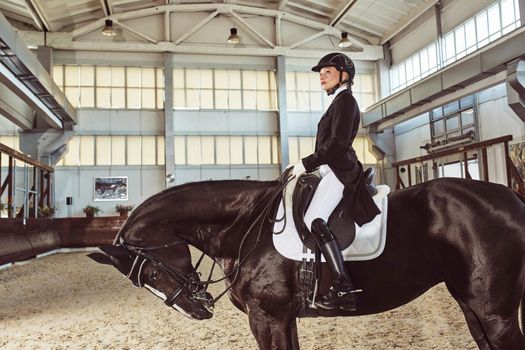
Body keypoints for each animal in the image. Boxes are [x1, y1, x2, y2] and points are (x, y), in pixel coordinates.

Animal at [92, 178, 524, 350]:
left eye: (149, 271)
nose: (197, 309)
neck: (245, 225)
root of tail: (510, 198)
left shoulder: (265, 318)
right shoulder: (283, 318)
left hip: (495, 311)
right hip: (471, 305)